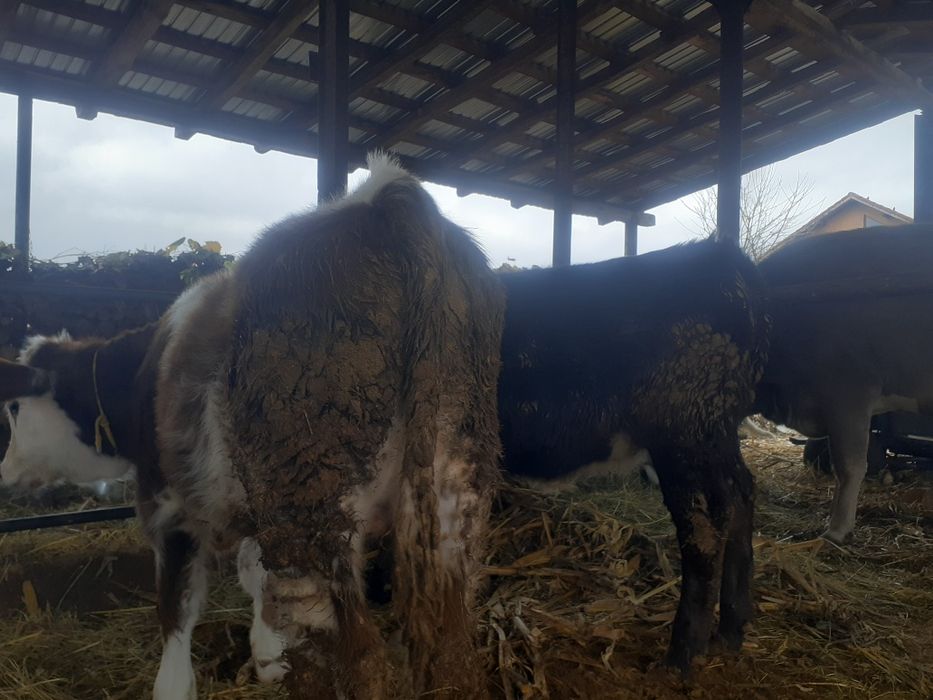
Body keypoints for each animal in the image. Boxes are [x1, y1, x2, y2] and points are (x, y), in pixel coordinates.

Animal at [0, 153, 505, 700]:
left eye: (15, 409)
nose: (4, 472)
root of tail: (386, 199)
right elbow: (251, 575)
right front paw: (267, 656)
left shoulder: (167, 507)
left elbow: (175, 611)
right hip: (454, 495)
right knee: (452, 651)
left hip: (312, 513)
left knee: (360, 658)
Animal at [496, 238, 769, 672]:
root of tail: (722, 258)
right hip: (716, 435)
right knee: (741, 493)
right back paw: (732, 629)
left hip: (683, 435)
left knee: (705, 524)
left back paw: (681, 656)